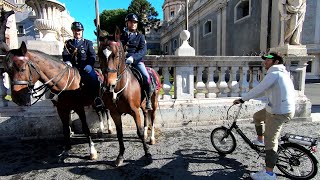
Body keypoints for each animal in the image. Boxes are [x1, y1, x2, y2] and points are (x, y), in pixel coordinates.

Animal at [97, 29, 161, 166]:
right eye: (99, 54)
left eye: (116, 55)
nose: (109, 85)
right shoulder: (115, 113)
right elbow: (120, 134)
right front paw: (120, 156)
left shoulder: (134, 111)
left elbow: (139, 132)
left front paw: (148, 155)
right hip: (143, 103)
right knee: (146, 114)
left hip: (153, 102)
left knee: (152, 117)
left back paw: (151, 137)